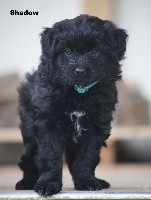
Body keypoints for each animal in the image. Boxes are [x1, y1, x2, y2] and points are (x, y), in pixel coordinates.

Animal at [15, 14, 127, 196]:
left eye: (94, 51)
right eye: (67, 52)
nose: (80, 71)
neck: (78, 92)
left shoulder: (96, 126)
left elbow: (87, 157)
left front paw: (86, 181)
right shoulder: (47, 124)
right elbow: (49, 155)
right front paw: (48, 184)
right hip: (29, 132)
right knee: (28, 159)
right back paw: (27, 182)